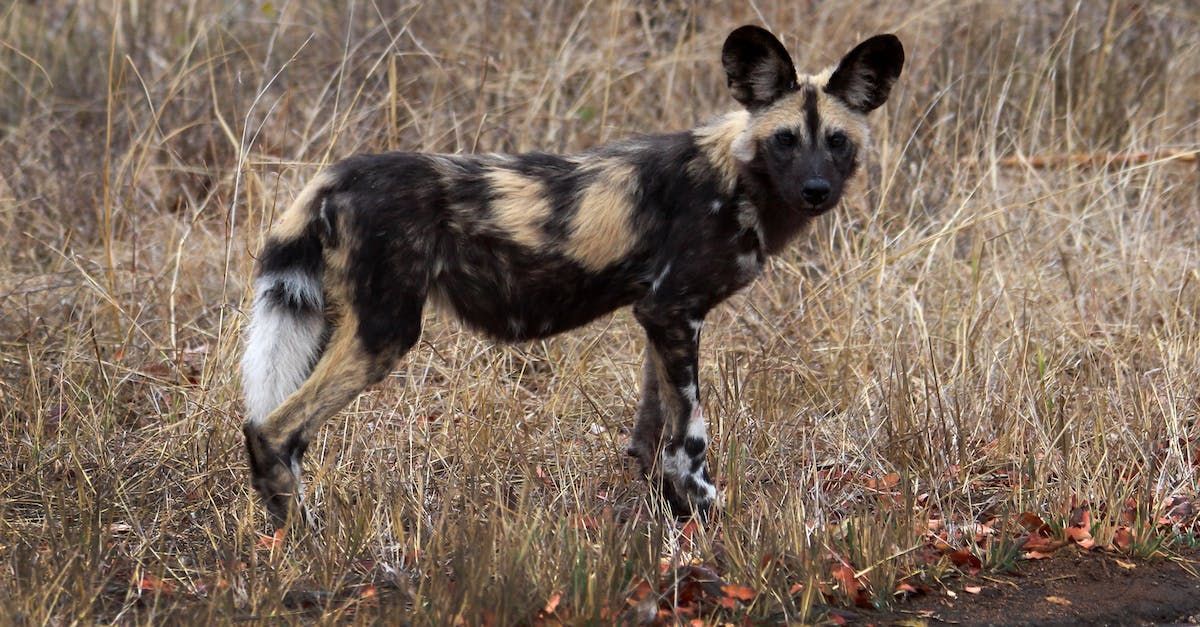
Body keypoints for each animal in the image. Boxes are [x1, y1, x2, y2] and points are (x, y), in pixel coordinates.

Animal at [241, 25, 902, 521]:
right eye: (786, 140)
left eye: (836, 141)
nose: (816, 190)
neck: (734, 178)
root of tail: (339, 173)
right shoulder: (674, 312)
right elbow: (691, 436)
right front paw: (705, 511)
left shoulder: (660, 317)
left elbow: (652, 434)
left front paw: (669, 513)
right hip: (383, 334)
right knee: (274, 431)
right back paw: (309, 541)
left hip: (331, 324)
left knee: (271, 427)